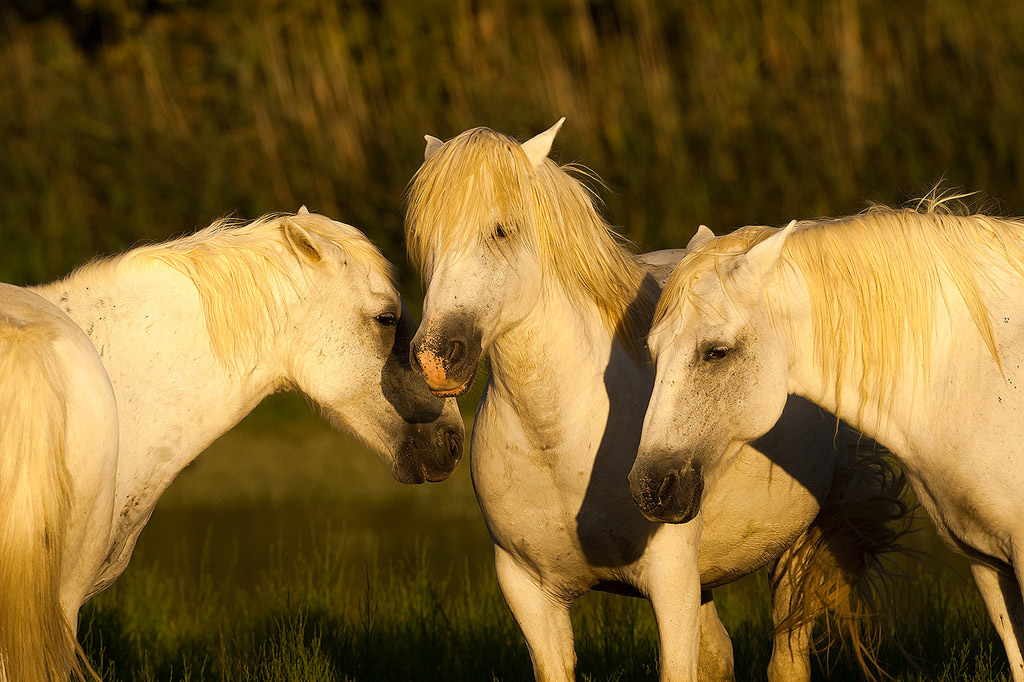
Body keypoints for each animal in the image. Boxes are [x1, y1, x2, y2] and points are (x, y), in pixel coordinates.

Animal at [404, 121, 905, 682]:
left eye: (500, 230)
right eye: (423, 240)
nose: (435, 357)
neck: (558, 440)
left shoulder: (671, 582)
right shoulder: (528, 591)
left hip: (805, 543)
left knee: (788, 658)